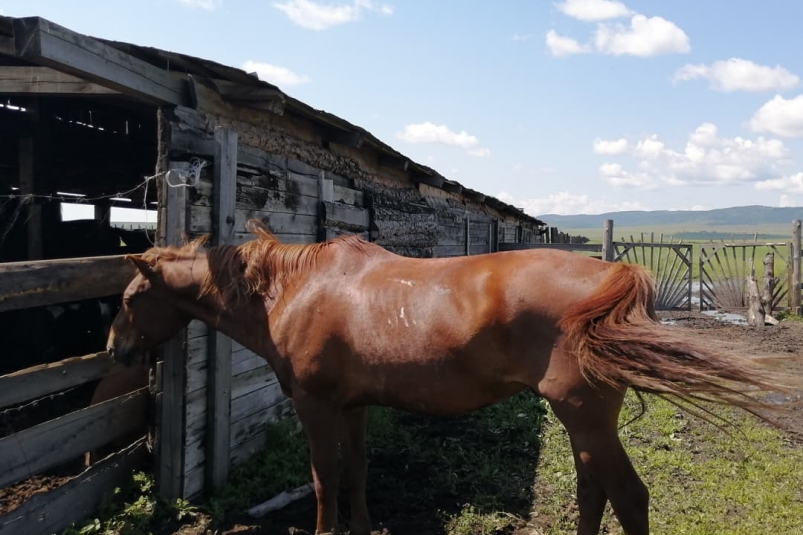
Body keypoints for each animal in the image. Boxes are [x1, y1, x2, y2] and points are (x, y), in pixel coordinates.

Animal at [105, 219, 792, 535]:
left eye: (133, 297)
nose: (114, 350)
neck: (293, 290)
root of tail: (610, 275)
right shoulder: (353, 406)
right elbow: (356, 470)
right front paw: (362, 526)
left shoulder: (315, 405)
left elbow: (323, 477)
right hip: (583, 420)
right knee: (593, 490)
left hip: (585, 417)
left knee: (627, 496)